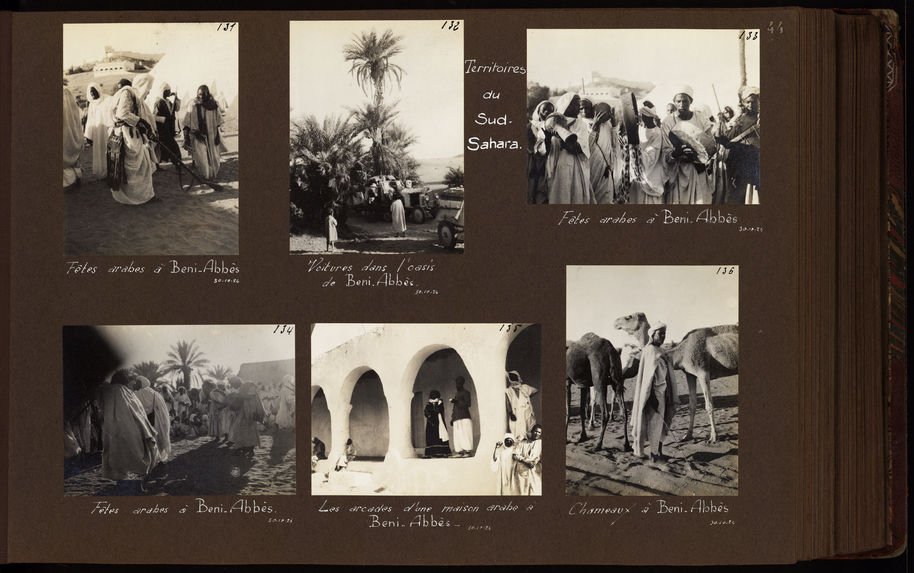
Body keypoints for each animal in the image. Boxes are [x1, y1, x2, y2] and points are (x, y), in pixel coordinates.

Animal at [608, 312, 736, 442]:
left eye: (628, 317)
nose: (615, 323)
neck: (681, 352)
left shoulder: (703, 371)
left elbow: (709, 405)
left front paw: (714, 437)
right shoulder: (690, 374)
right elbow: (692, 405)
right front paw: (687, 435)